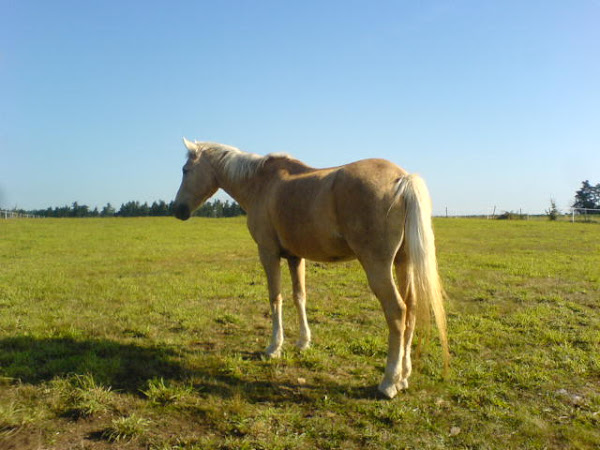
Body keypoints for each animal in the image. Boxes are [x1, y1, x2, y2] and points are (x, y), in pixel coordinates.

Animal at [171, 137, 448, 398]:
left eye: (185, 170)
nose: (178, 210)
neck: (261, 183)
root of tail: (402, 179)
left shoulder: (268, 253)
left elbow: (275, 298)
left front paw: (273, 347)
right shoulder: (296, 257)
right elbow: (299, 297)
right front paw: (303, 342)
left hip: (377, 266)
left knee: (397, 312)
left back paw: (389, 382)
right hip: (403, 262)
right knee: (411, 309)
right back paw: (403, 377)